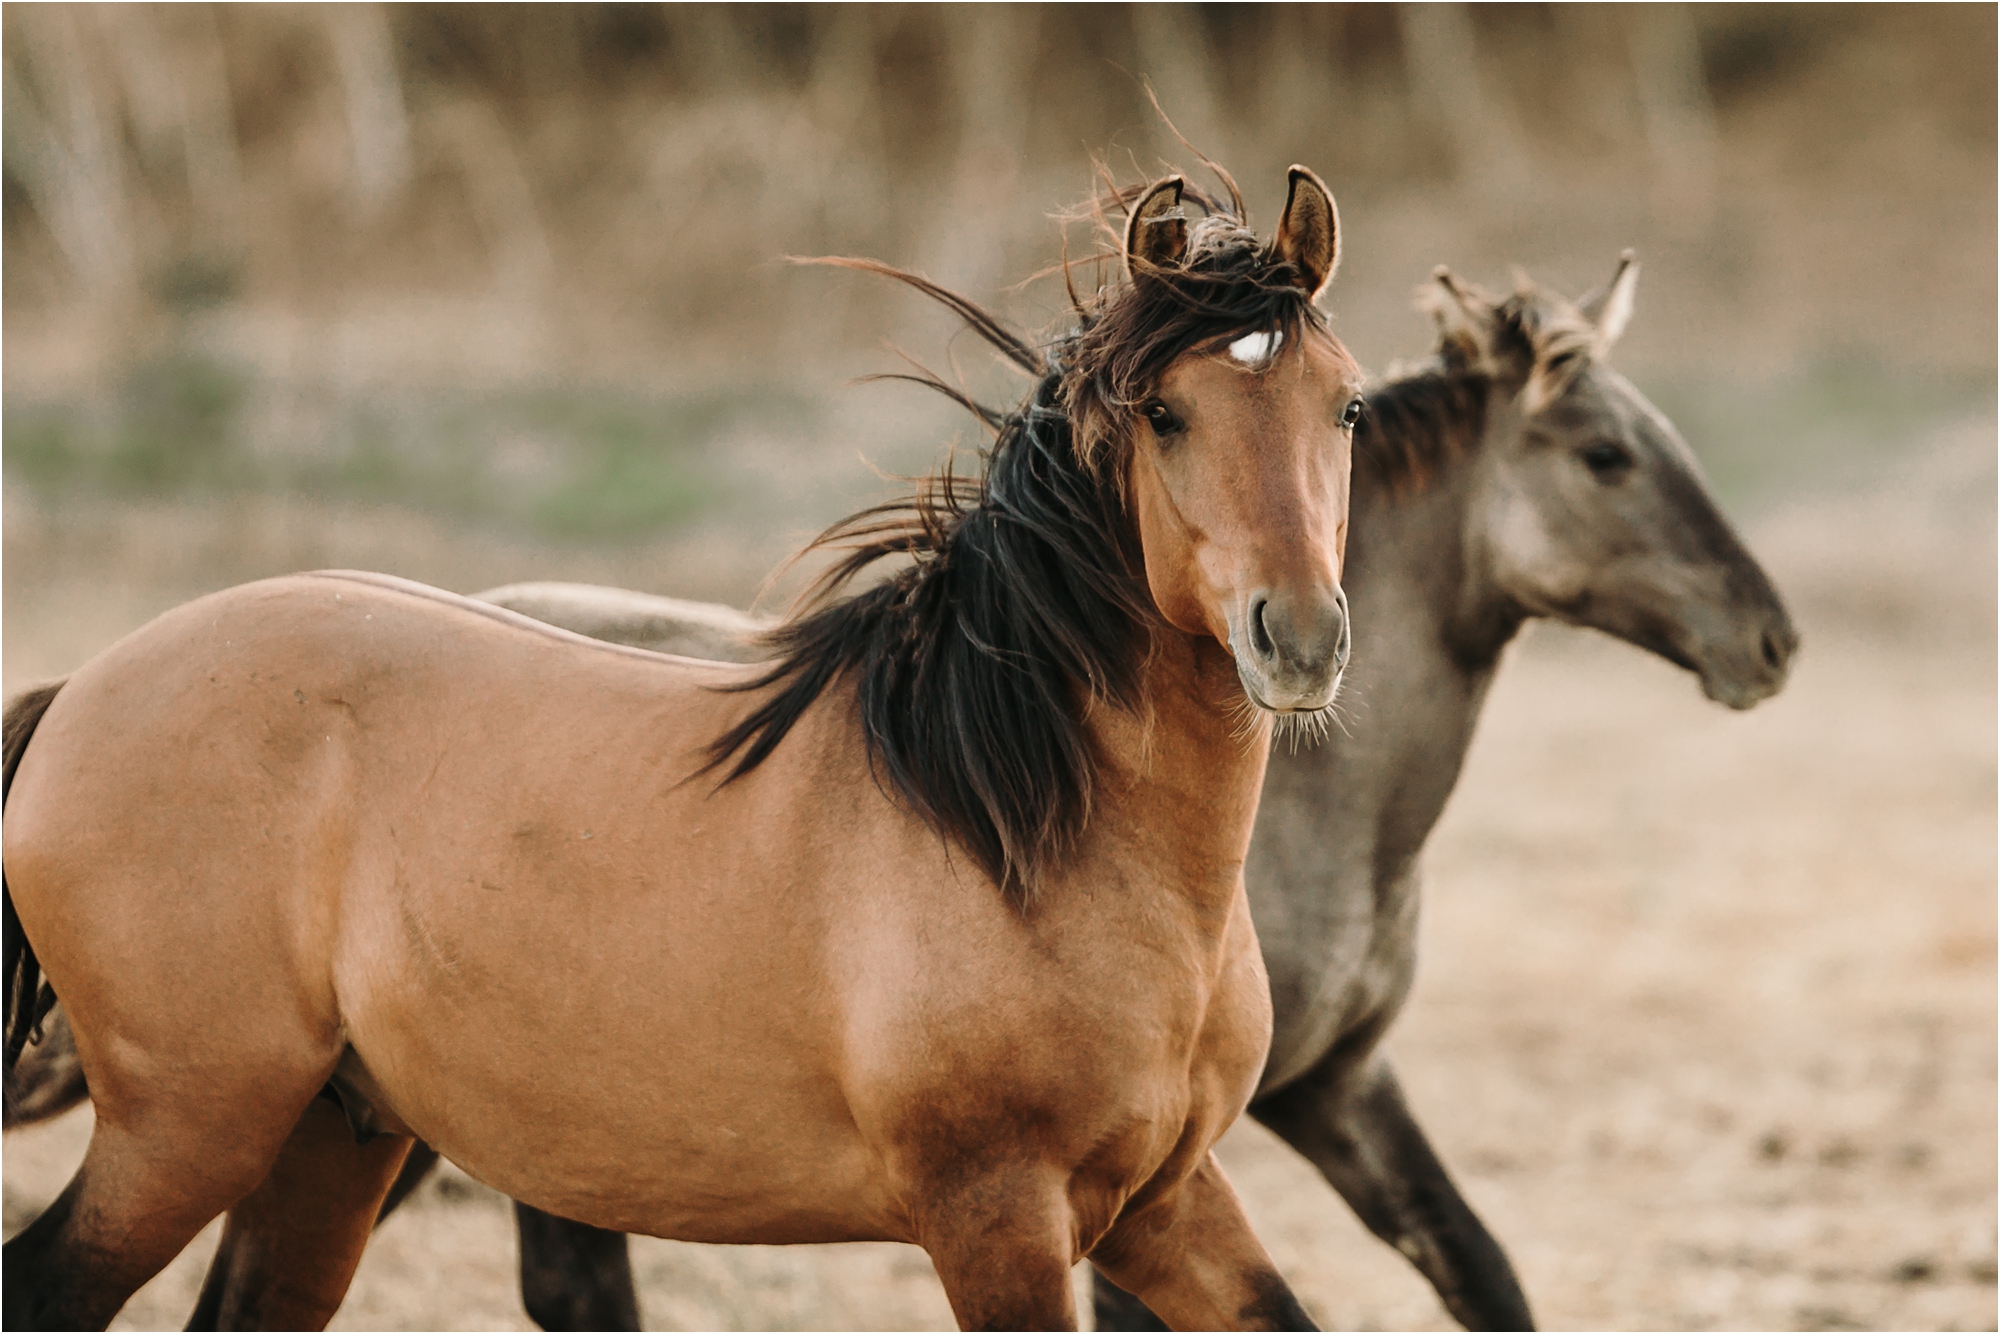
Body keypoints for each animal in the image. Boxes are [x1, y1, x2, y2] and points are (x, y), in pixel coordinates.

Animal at [3, 256, 1800, 1328]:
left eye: (1342, 406)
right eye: (1607, 456)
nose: (1769, 640)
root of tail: (86, 686)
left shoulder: (1243, 1144)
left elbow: (1475, 1268)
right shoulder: (1012, 1204)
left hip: (336, 1129)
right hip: (200, 1117)